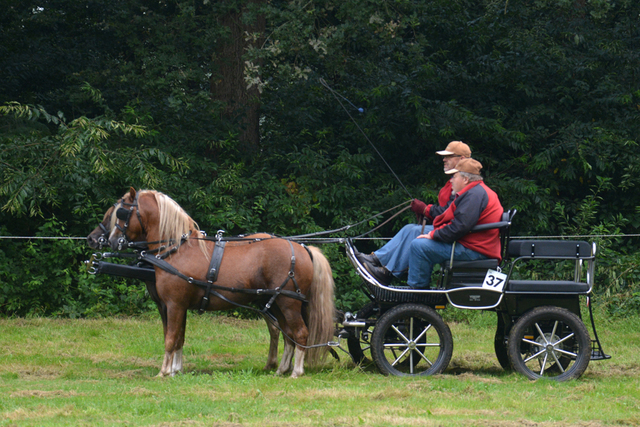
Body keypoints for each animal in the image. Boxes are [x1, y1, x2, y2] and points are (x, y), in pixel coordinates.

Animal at [95, 188, 338, 378]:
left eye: (121, 213)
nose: (111, 241)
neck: (175, 249)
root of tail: (303, 248)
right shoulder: (178, 306)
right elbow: (179, 337)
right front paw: (175, 370)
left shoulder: (174, 304)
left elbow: (170, 338)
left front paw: (164, 372)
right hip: (275, 302)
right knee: (287, 333)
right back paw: (281, 369)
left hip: (289, 302)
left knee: (300, 333)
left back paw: (296, 371)